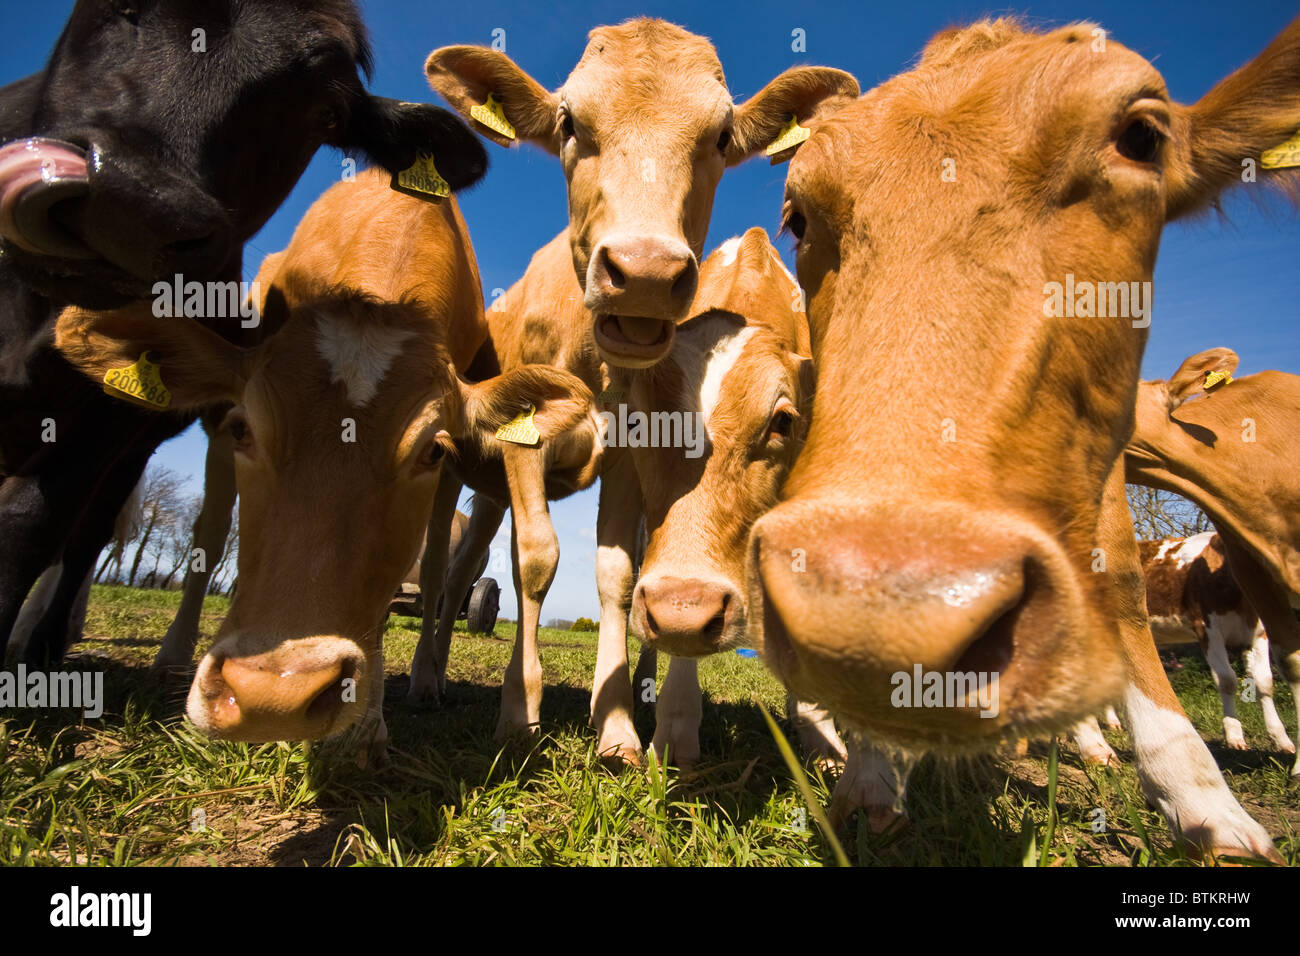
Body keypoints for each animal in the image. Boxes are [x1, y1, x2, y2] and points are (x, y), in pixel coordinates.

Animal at [754, 20, 1300, 858]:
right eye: (798, 216)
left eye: (1141, 138)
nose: (886, 610)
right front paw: (873, 771)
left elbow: (1123, 595)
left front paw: (1208, 803)